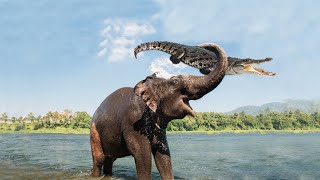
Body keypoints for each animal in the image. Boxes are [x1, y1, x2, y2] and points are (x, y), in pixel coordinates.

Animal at [90, 42, 229, 179]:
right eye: (175, 81)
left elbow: (163, 155)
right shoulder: (133, 121)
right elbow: (143, 156)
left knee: (110, 159)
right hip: (94, 131)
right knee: (99, 159)